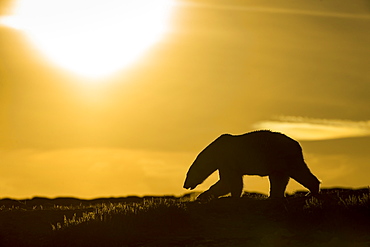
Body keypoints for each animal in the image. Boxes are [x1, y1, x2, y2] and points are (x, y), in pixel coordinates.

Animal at [184, 130, 320, 200]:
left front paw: (202, 196)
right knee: (279, 178)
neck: (214, 151)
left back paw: (311, 192)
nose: (184, 185)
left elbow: (228, 181)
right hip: (278, 162)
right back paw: (274, 197)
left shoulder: (227, 160)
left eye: (188, 174)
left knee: (298, 171)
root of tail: (297, 145)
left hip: (282, 156)